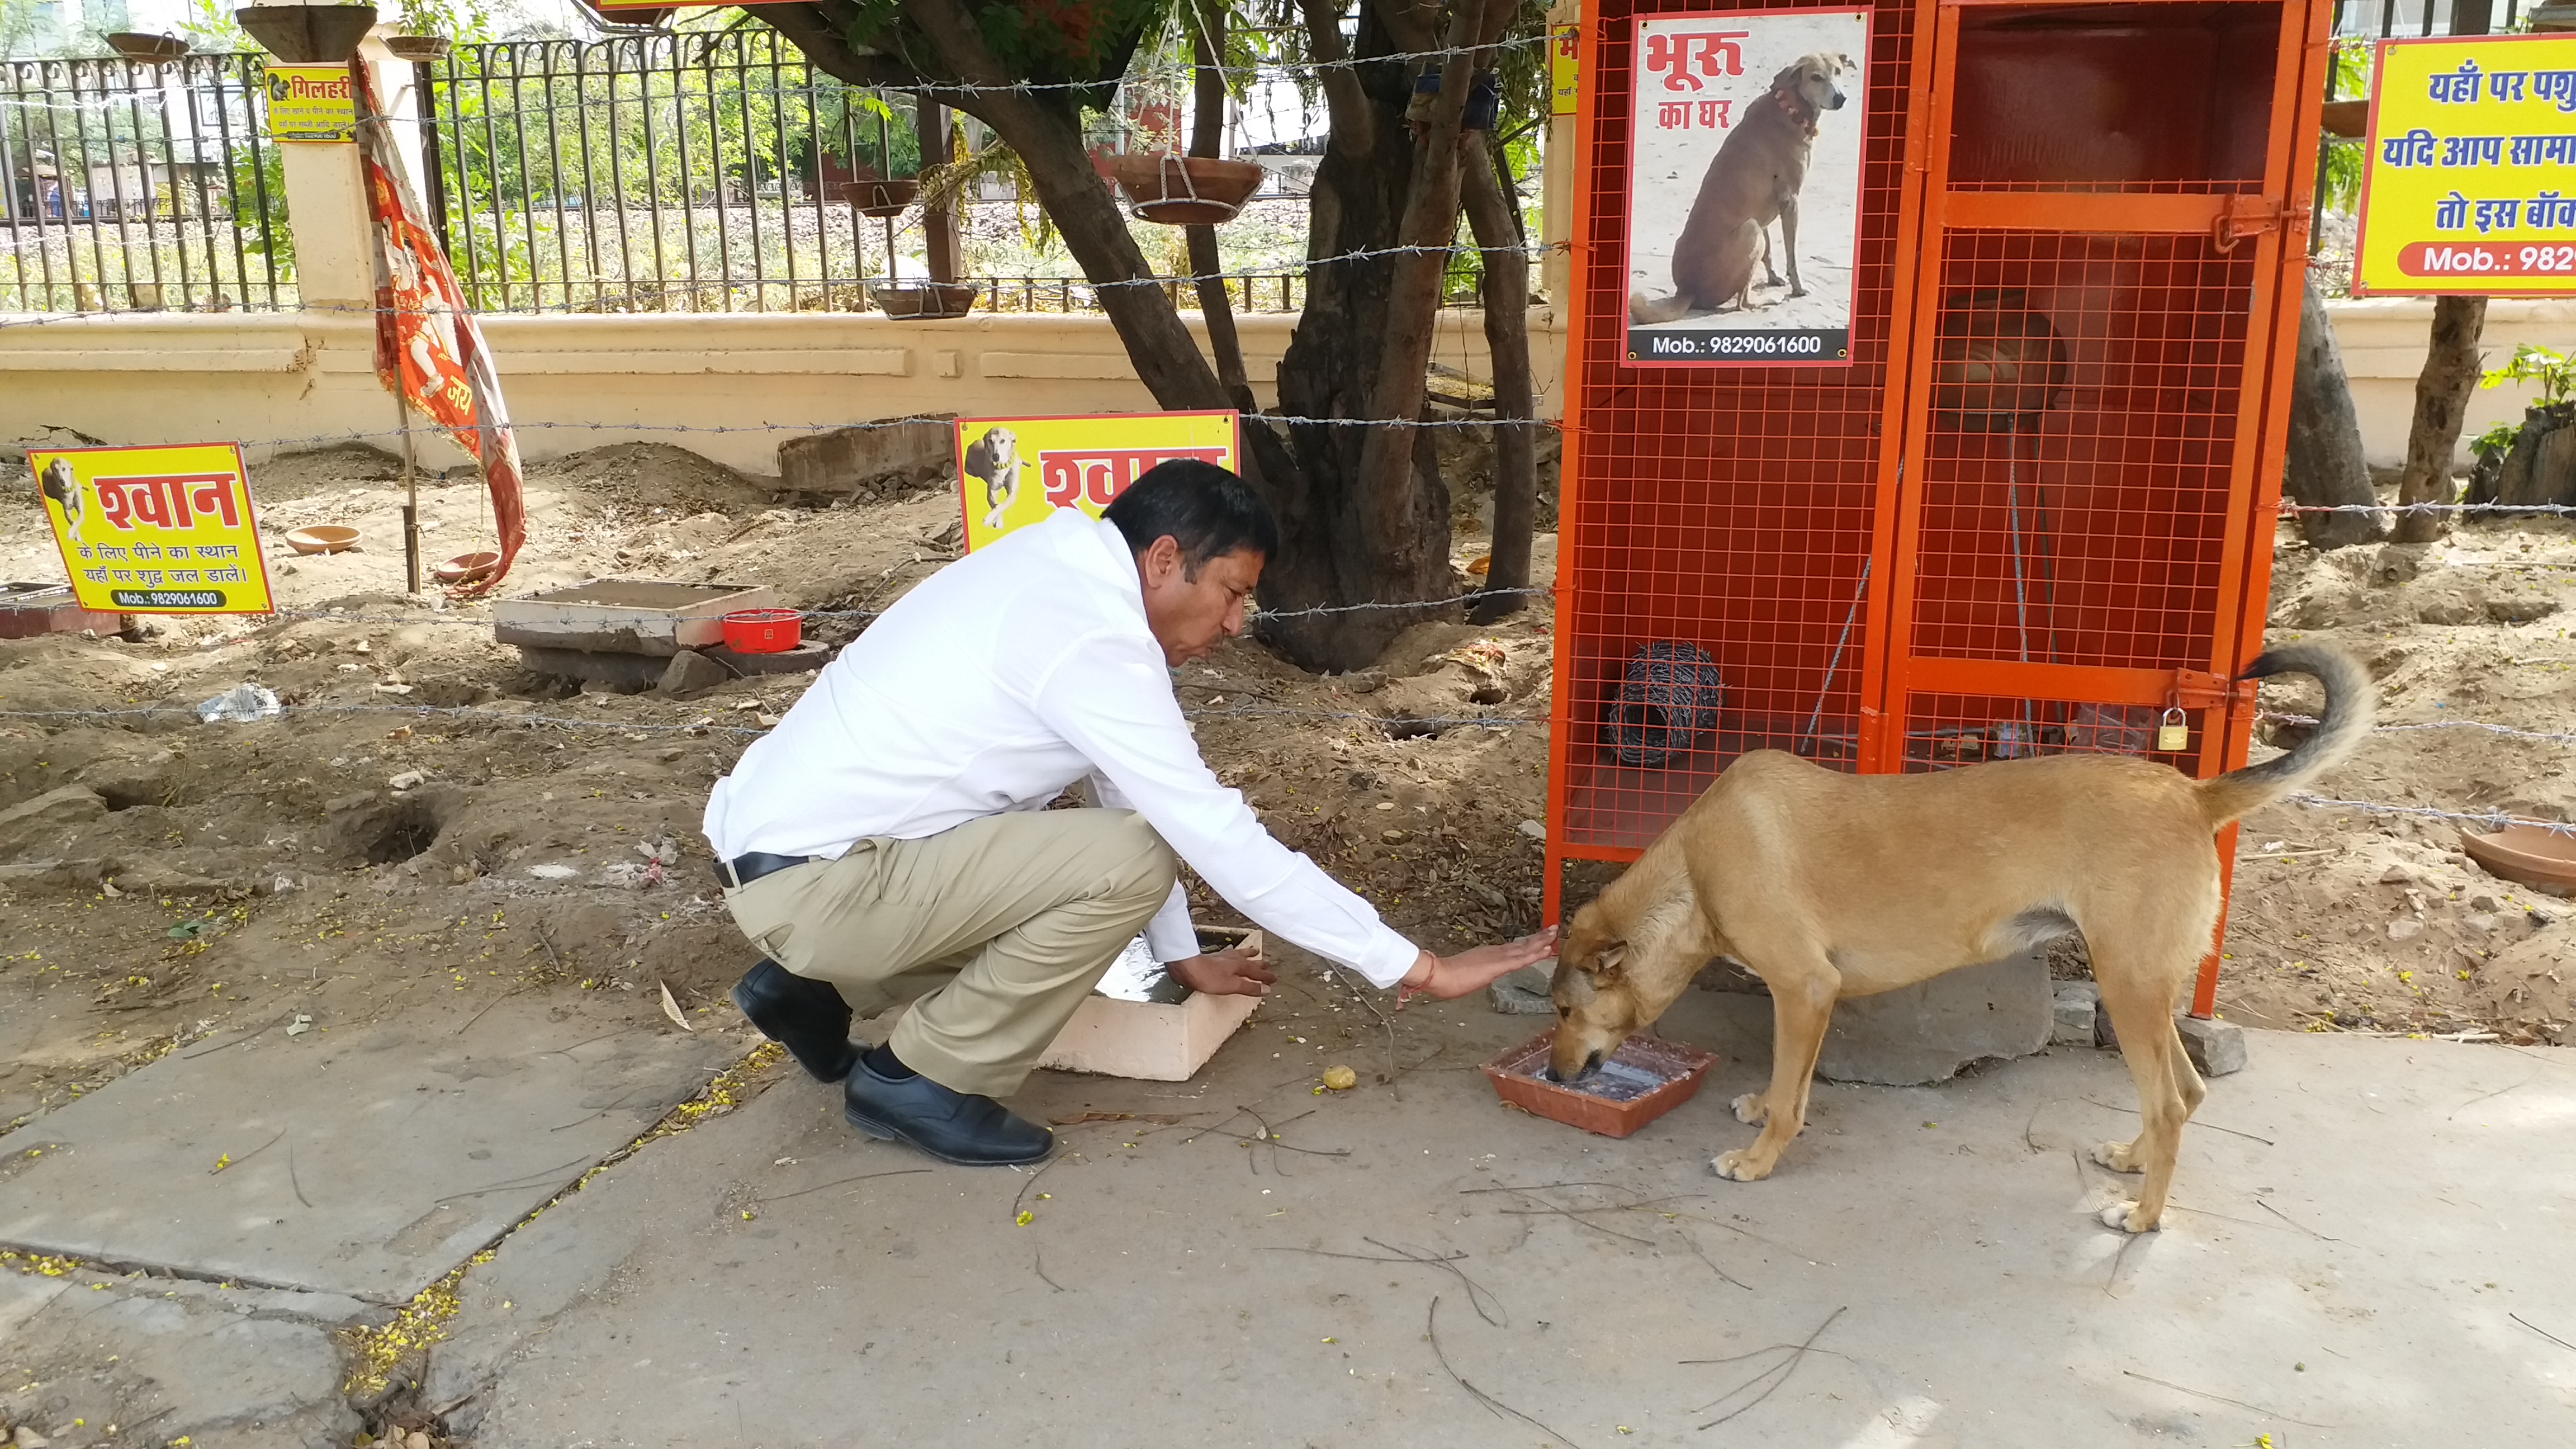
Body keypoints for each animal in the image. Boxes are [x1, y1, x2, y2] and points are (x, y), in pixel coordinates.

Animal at [1545, 645, 2370, 1227]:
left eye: (1562, 1011)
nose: (1553, 1075)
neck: (1695, 867)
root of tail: (2194, 793)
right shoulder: (1810, 998)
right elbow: (1793, 1085)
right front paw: (1765, 1113)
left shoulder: (1803, 988)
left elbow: (1789, 1095)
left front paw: (1758, 1160)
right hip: (2142, 986)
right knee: (2187, 1092)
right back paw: (2133, 1162)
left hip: (2129, 986)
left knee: (2169, 1104)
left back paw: (2142, 1218)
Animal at [1628, 52, 1854, 322]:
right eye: (1816, 77)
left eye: (1838, 71)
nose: (1841, 98)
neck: (1788, 108)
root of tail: (1687, 290)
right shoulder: (1790, 201)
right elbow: (1792, 256)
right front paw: (1797, 288)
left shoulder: (1767, 213)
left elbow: (1769, 254)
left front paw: (1774, 278)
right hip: (1751, 229)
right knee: (1742, 302)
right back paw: (1768, 300)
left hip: (1752, 228)